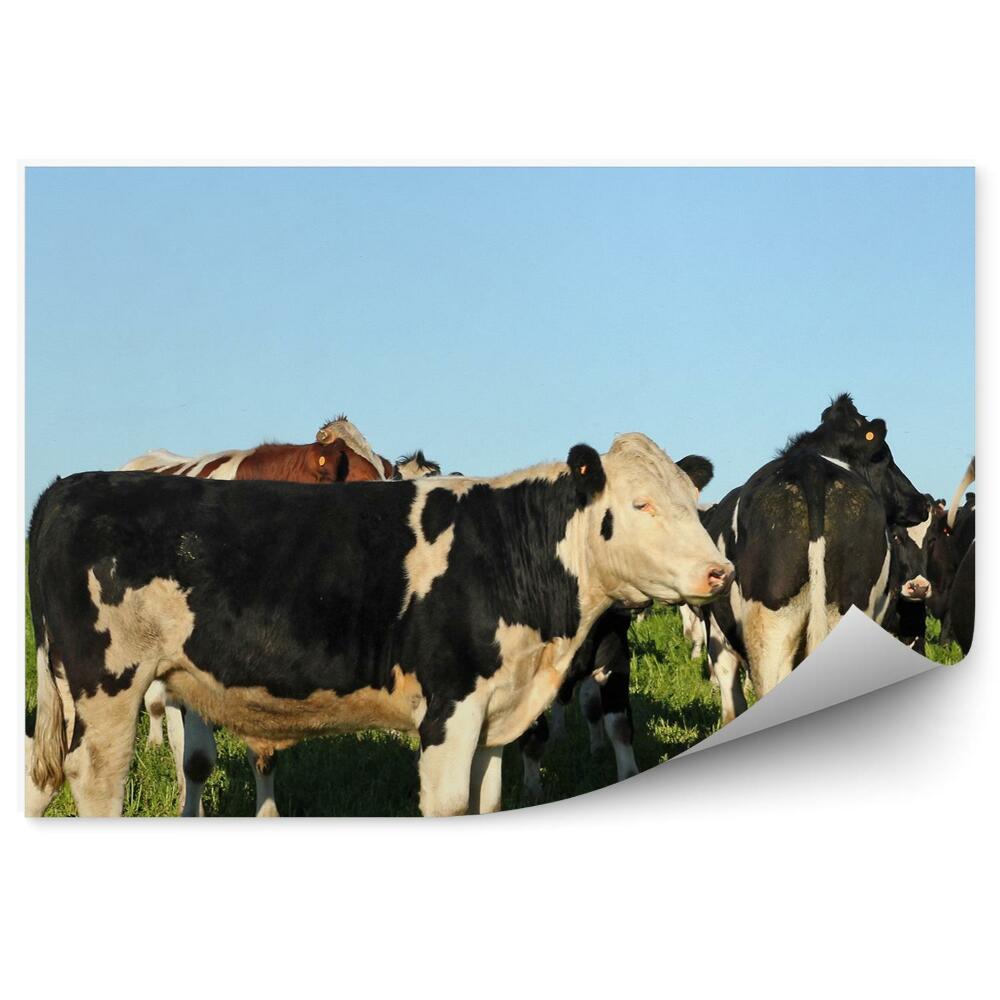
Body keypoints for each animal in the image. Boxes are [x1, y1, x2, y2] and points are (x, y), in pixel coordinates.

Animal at [25, 432, 734, 818]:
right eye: (640, 504)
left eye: (691, 500)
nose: (719, 571)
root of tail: (68, 487)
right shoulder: (450, 709)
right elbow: (449, 806)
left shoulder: (496, 715)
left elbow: (489, 803)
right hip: (107, 688)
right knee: (95, 780)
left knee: (41, 773)